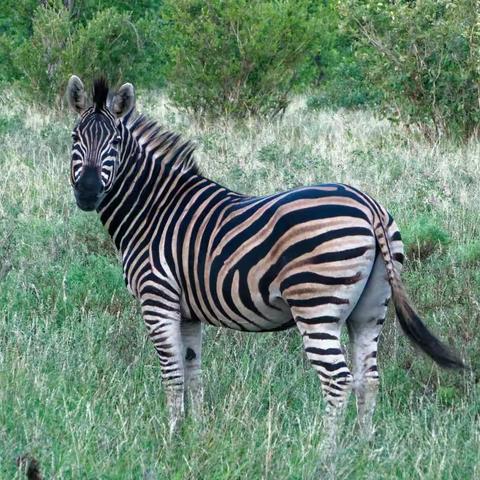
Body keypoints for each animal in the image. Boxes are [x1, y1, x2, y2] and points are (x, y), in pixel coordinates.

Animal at [65, 77, 464, 440]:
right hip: (370, 308)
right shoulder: (188, 311)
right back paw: (363, 451)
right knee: (369, 378)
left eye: (116, 143)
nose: (87, 193)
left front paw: (172, 437)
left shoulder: (157, 298)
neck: (153, 209)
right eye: (74, 139)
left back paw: (325, 455)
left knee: (338, 381)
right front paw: (197, 435)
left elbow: (173, 374)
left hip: (317, 304)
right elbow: (194, 372)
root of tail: (369, 206)